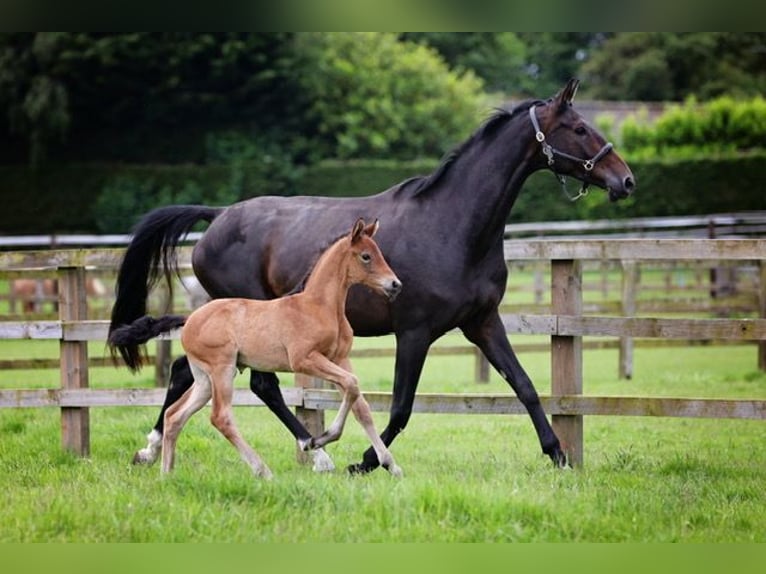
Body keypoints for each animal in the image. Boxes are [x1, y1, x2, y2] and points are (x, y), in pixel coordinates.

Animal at [112, 218, 408, 480]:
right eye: (366, 256)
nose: (395, 285)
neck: (319, 307)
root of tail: (190, 319)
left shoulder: (340, 358)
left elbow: (361, 405)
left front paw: (391, 465)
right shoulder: (306, 360)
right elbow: (351, 385)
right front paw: (320, 439)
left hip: (205, 378)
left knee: (175, 415)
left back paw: (166, 473)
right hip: (222, 369)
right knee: (221, 416)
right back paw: (262, 470)